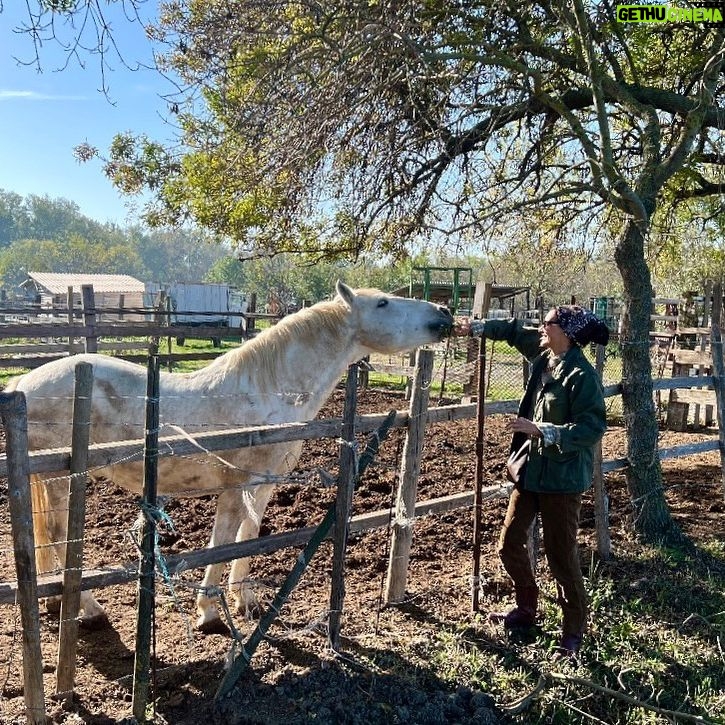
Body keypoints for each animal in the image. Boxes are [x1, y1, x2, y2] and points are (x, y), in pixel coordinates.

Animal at [7, 280, 452, 632]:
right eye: (383, 303)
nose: (445, 313)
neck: (267, 391)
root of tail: (22, 383)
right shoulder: (237, 486)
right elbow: (222, 542)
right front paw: (209, 611)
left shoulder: (263, 487)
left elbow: (246, 539)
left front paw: (245, 601)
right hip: (61, 482)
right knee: (60, 538)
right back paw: (91, 608)